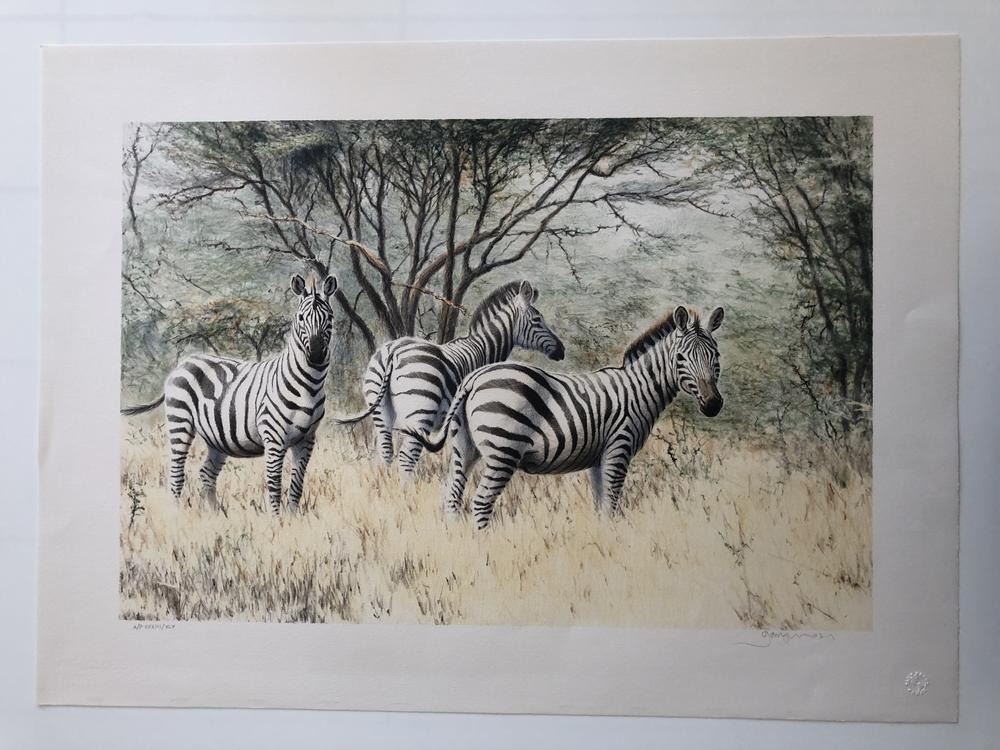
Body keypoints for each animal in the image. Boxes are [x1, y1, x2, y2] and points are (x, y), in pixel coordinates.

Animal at [121, 273, 339, 514]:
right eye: (300, 318)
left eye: (329, 317)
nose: (316, 354)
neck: (309, 385)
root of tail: (184, 362)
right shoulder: (273, 438)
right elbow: (274, 483)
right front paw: (277, 519)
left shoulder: (307, 439)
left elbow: (297, 485)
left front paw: (292, 518)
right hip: (180, 422)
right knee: (176, 474)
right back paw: (176, 514)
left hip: (217, 438)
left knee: (206, 473)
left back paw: (216, 515)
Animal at [335, 280, 566, 477]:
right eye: (537, 320)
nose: (562, 351)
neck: (483, 347)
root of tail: (393, 352)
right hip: (420, 411)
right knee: (406, 457)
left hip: (380, 407)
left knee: (385, 450)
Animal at [401, 305, 725, 529]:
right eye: (681, 358)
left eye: (716, 356)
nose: (713, 405)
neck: (638, 389)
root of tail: (474, 378)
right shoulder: (619, 449)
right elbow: (612, 507)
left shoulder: (599, 458)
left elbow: (601, 507)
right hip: (503, 450)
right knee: (480, 503)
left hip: (464, 448)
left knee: (452, 498)